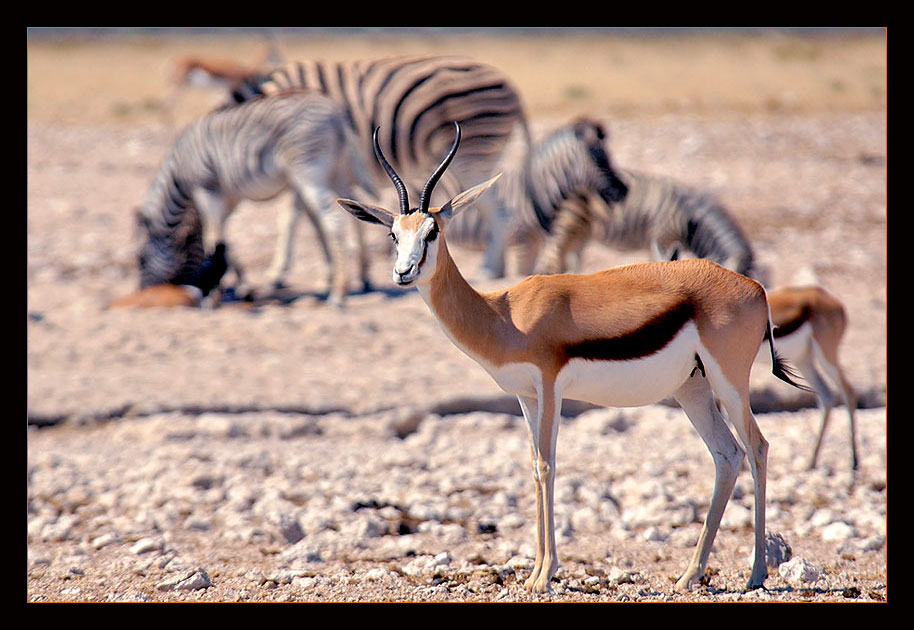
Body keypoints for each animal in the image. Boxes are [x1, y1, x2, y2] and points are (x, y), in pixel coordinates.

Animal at [134, 89, 374, 306]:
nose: (143, 293)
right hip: (337, 171)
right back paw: (362, 277)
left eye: (141, 260)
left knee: (333, 221)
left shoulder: (206, 188)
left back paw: (338, 292)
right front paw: (241, 285)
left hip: (308, 171)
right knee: (352, 212)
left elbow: (213, 236)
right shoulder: (228, 197)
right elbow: (224, 240)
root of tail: (336, 114)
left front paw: (215, 294)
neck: (178, 173)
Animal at [232, 55, 532, 278]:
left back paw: (488, 271)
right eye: (392, 235)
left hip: (472, 161)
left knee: (502, 214)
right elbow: (310, 217)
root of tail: (512, 89)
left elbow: (293, 217)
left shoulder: (303, 164)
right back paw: (497, 271)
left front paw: (279, 273)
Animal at [338, 123, 808, 596]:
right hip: (691, 387)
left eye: (432, 231)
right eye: (394, 234)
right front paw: (533, 574)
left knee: (757, 447)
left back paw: (756, 573)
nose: (403, 273)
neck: (504, 313)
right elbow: (533, 466)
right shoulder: (526, 396)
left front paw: (546, 574)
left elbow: (548, 465)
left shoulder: (550, 388)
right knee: (727, 455)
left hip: (728, 382)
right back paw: (690, 574)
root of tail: (756, 289)